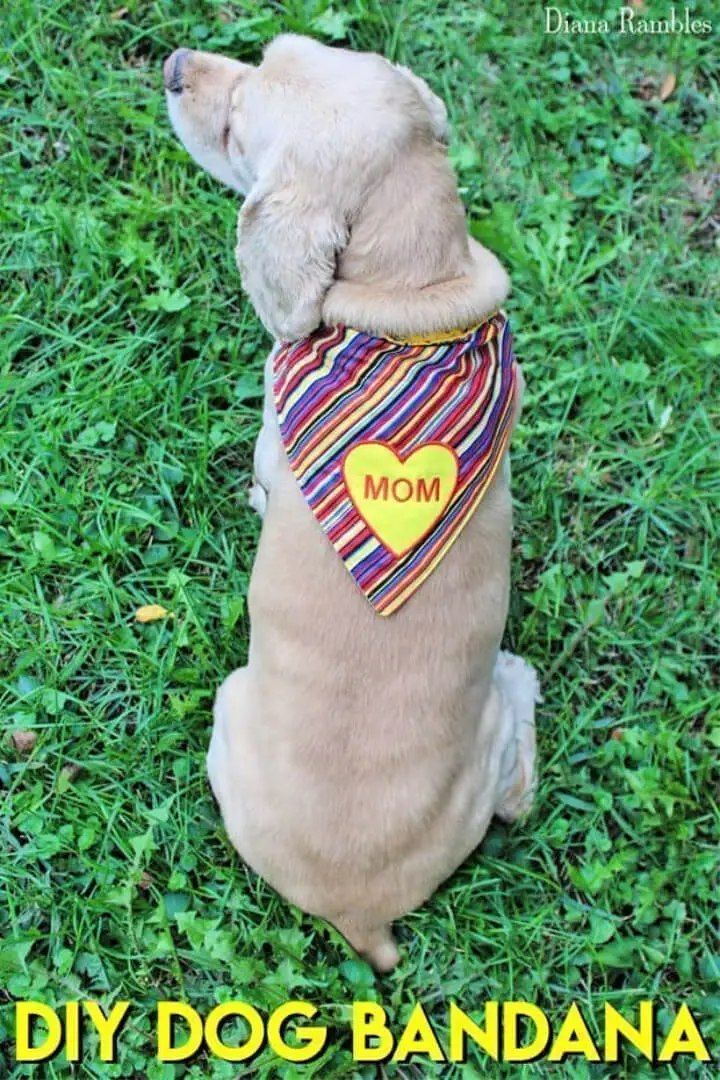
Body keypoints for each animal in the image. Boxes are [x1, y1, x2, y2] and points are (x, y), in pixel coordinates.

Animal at [166, 33, 537, 972]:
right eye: (269, 51)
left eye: (237, 131)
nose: (176, 64)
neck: (413, 297)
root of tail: (359, 911)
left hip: (230, 705)